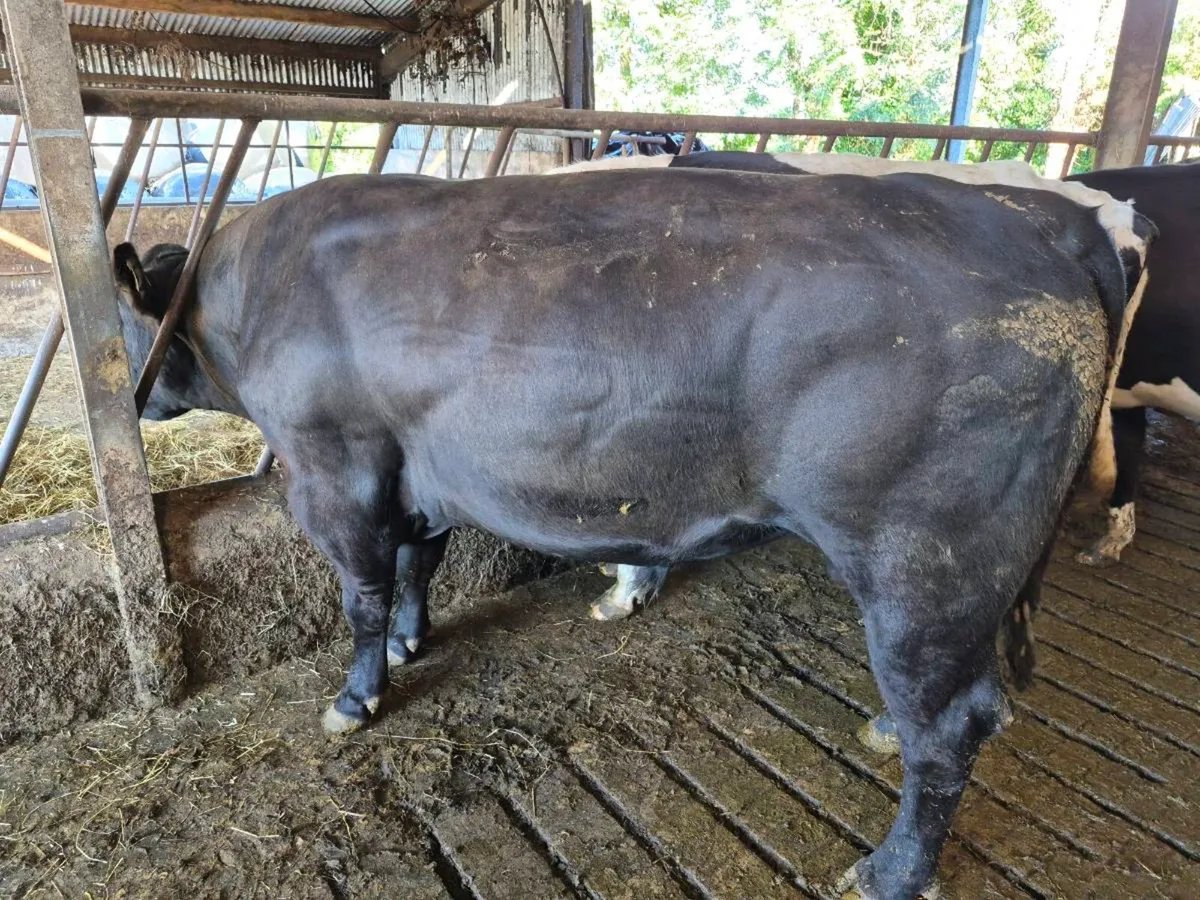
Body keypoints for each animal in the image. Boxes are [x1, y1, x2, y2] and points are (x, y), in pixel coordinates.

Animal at [113, 167, 1149, 900]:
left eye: (128, 332)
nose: (132, 402)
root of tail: (1037, 221)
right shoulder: (415, 472)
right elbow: (418, 565)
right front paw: (413, 640)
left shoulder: (333, 468)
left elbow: (362, 594)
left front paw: (355, 696)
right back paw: (887, 732)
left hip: (928, 558)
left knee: (958, 717)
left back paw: (890, 872)